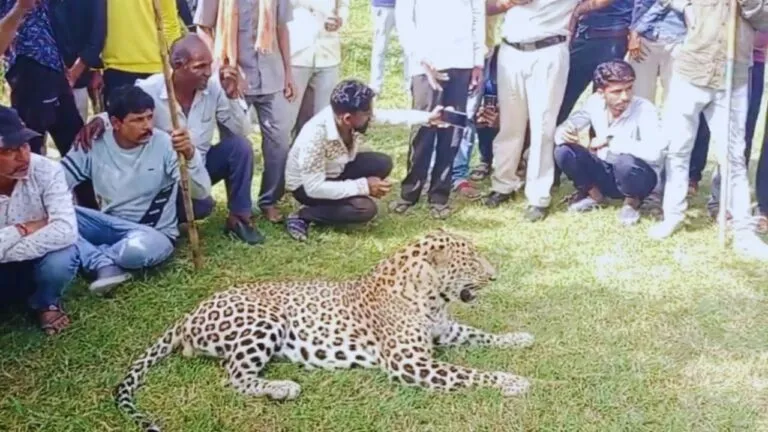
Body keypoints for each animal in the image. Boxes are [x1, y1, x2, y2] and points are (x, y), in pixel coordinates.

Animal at [115, 229, 535, 432]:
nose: (495, 276)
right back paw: (283, 388)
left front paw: (520, 338)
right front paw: (513, 381)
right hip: (265, 320)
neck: (431, 296)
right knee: (233, 377)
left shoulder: (444, 332)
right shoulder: (409, 362)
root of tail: (190, 312)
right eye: (472, 262)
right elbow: (468, 373)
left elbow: (482, 335)